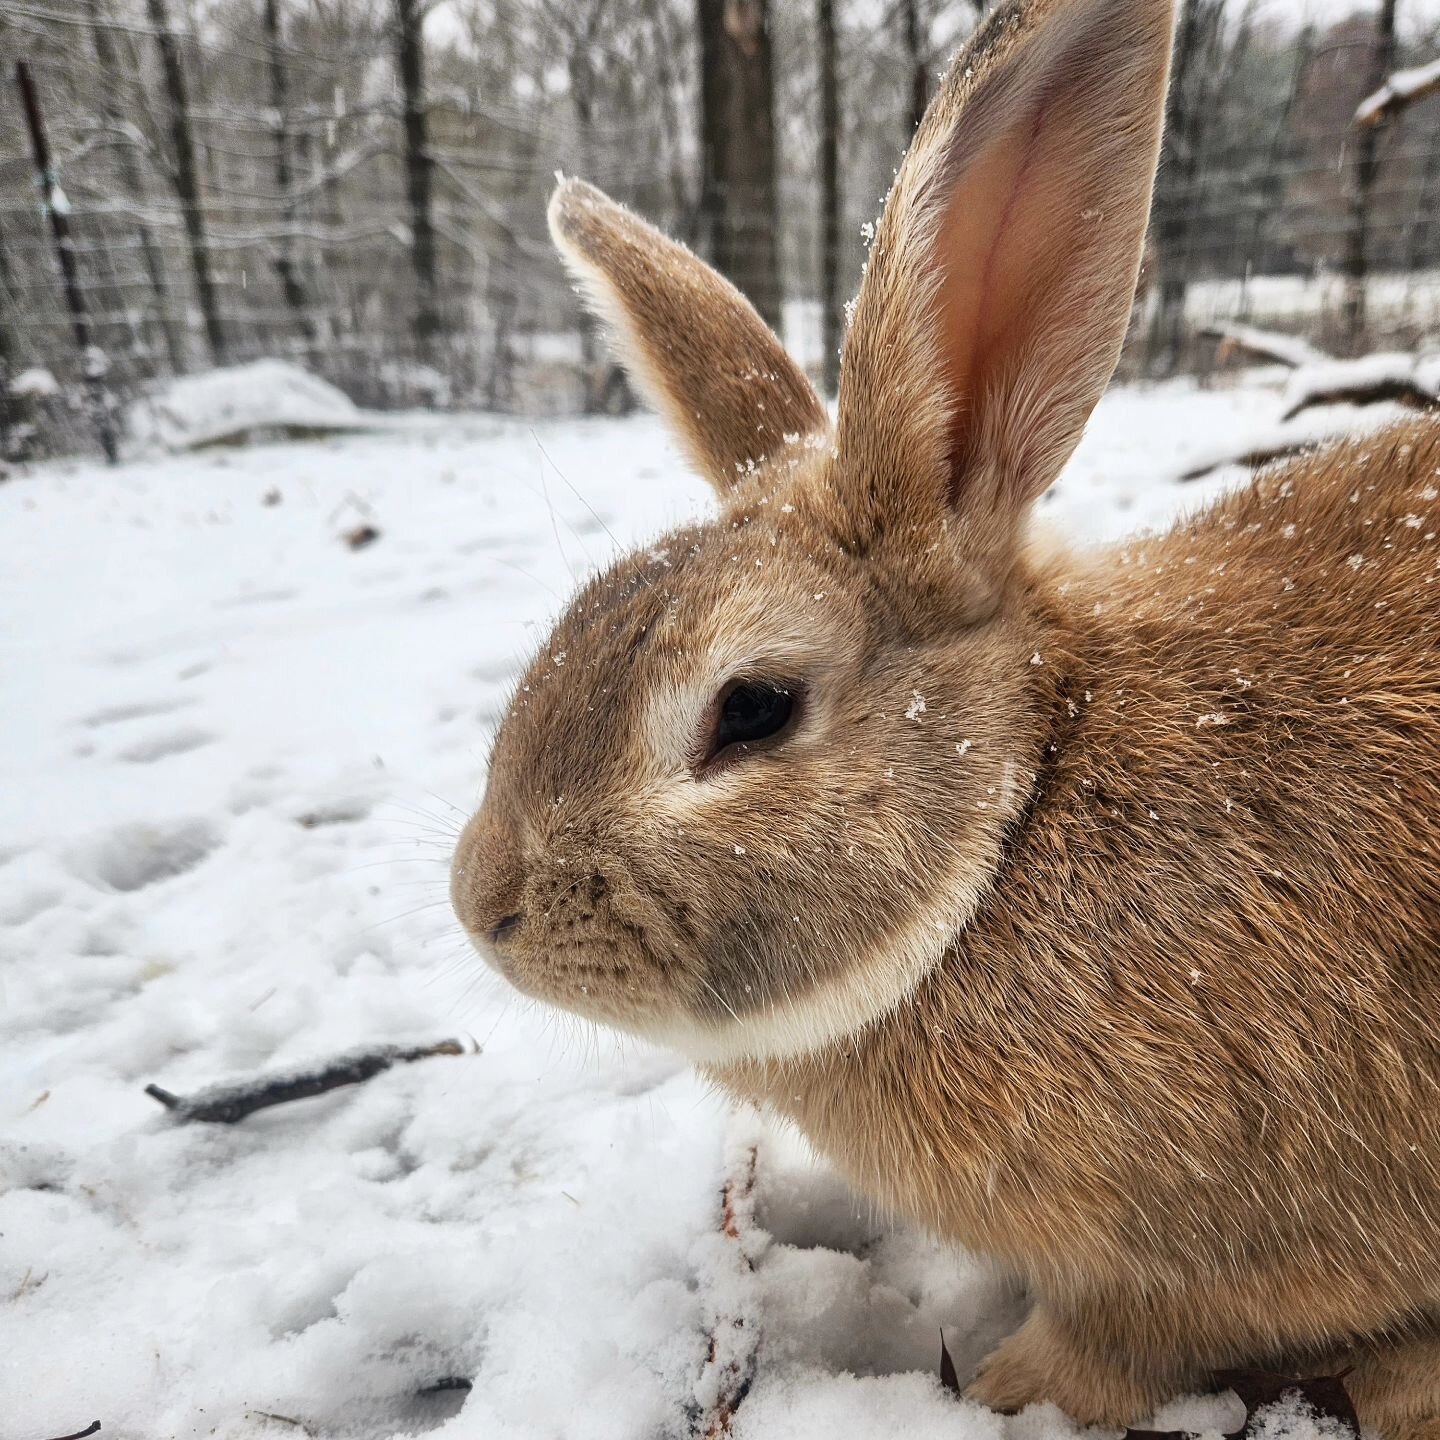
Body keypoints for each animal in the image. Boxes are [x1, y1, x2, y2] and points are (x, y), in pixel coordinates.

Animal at [449, 0, 1440, 1428]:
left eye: (753, 710)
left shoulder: (1181, 1273)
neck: (1022, 815)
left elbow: (1109, 1350)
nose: (484, 907)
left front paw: (1003, 1389)